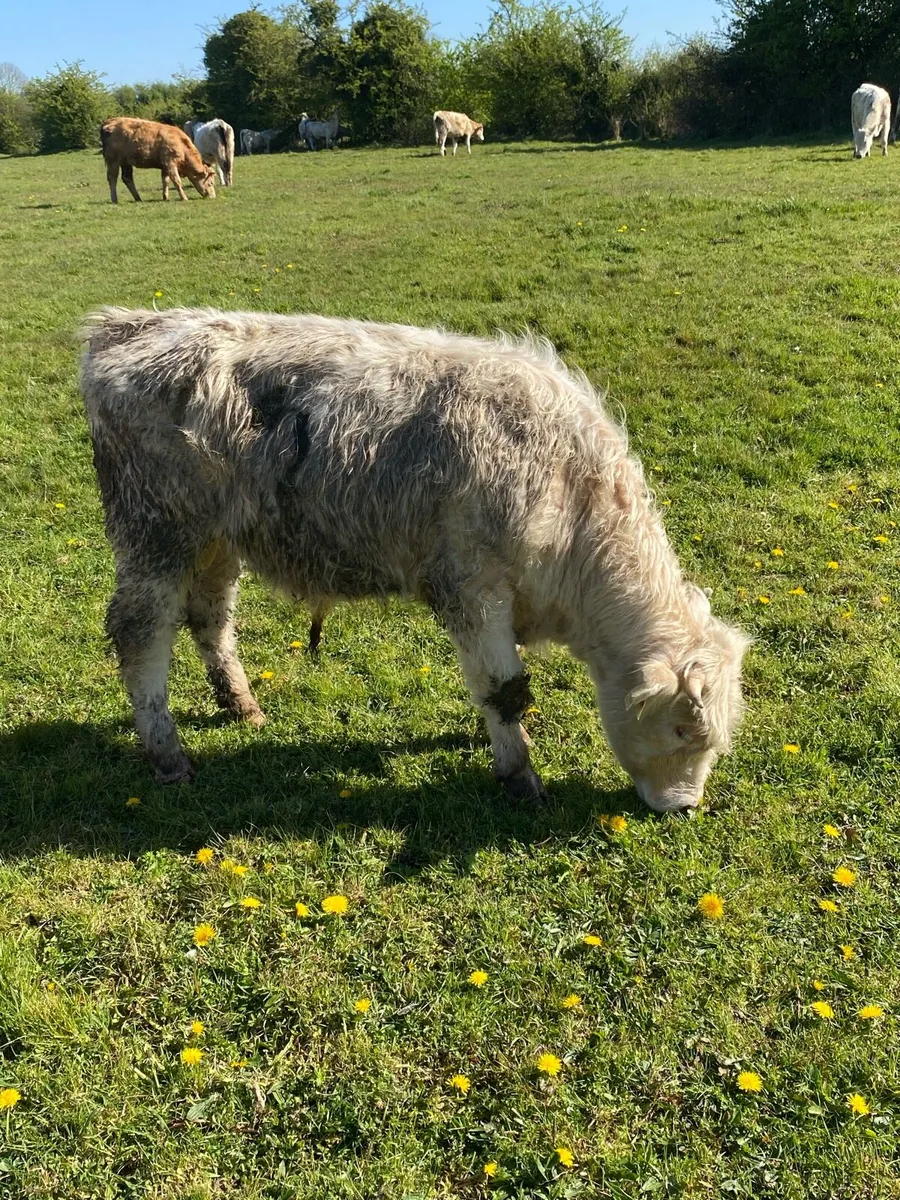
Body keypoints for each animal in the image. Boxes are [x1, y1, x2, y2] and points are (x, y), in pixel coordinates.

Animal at [80, 308, 748, 813]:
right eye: (683, 729)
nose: (685, 808)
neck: (570, 491)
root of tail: (129, 326)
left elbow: (495, 682)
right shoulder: (471, 587)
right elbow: (506, 685)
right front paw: (519, 773)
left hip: (217, 541)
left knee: (211, 619)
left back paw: (242, 705)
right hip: (156, 536)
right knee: (140, 633)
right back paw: (167, 753)